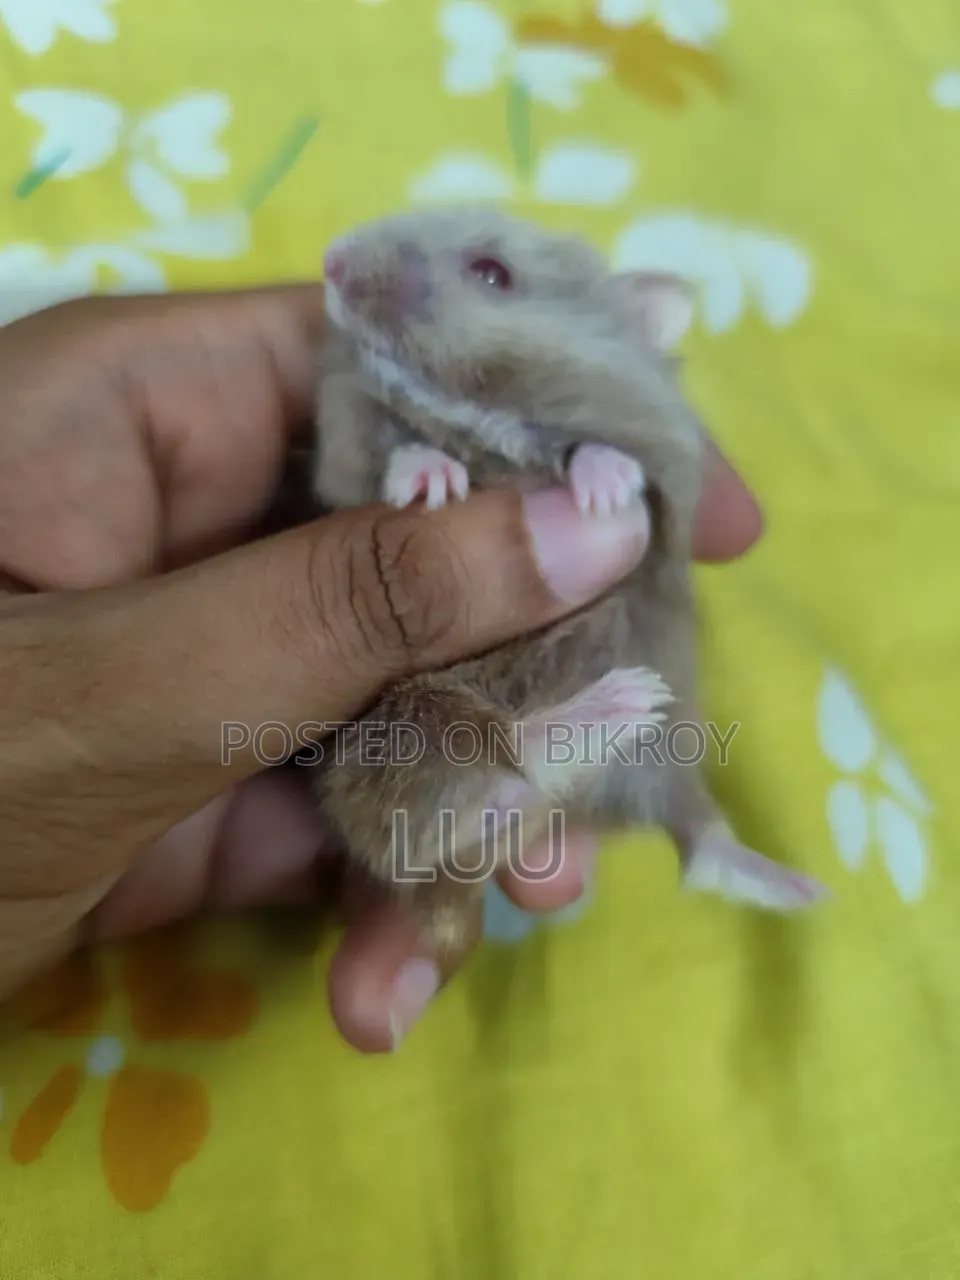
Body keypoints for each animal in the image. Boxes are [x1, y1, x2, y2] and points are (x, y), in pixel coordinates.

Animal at [309, 205, 827, 953]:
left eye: (492, 273)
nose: (330, 259)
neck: (483, 404)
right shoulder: (345, 441)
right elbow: (388, 451)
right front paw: (432, 483)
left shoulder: (663, 486)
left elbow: (611, 463)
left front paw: (605, 492)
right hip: (400, 725)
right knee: (472, 790)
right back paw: (612, 706)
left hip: (670, 752)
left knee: (696, 840)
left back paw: (804, 888)